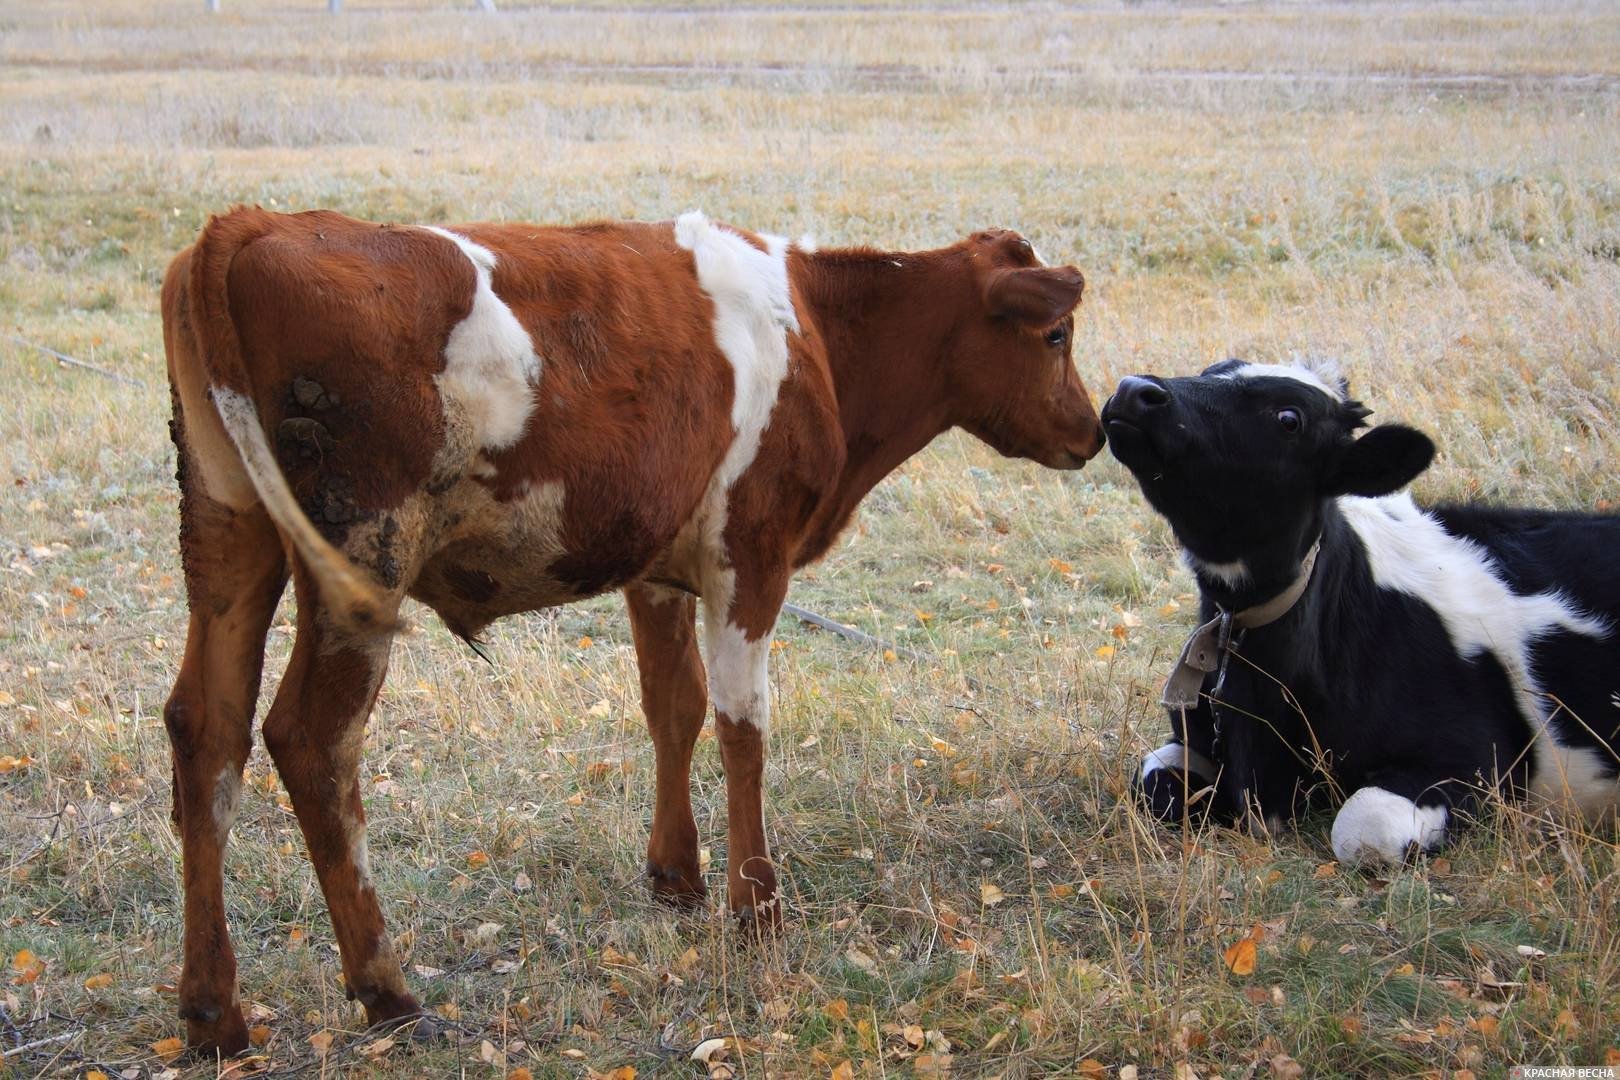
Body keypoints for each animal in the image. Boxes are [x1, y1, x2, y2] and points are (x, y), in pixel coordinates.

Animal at [164, 207, 1101, 1049]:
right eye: (1056, 335)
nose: (1092, 433)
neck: (818, 332)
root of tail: (246, 226)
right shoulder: (749, 554)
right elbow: (742, 728)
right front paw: (757, 906)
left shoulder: (659, 567)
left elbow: (672, 706)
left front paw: (677, 876)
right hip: (365, 552)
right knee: (314, 742)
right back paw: (386, 990)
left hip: (227, 532)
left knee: (207, 733)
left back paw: (214, 1013)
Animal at [1101, 359, 1620, 867]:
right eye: (1212, 369)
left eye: (1289, 418)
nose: (1133, 389)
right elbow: (1151, 786)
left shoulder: (1477, 760)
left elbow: (1362, 825)